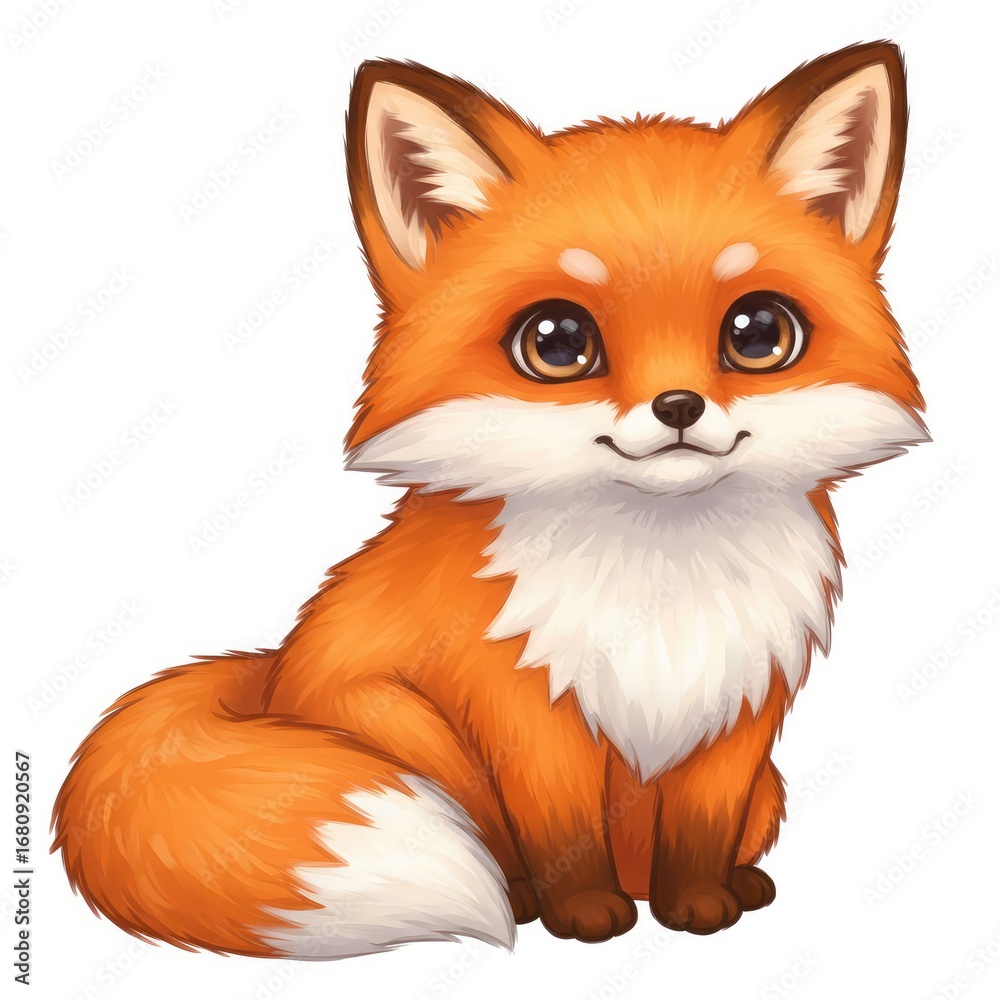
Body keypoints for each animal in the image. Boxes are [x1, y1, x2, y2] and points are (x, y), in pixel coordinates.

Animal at [53, 41, 926, 958]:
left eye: (759, 334)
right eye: (558, 343)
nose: (679, 406)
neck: (659, 582)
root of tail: (268, 680)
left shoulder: (739, 718)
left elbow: (697, 834)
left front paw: (697, 903)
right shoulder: (523, 712)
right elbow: (563, 831)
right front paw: (585, 912)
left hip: (768, 788)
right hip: (407, 730)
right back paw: (527, 896)